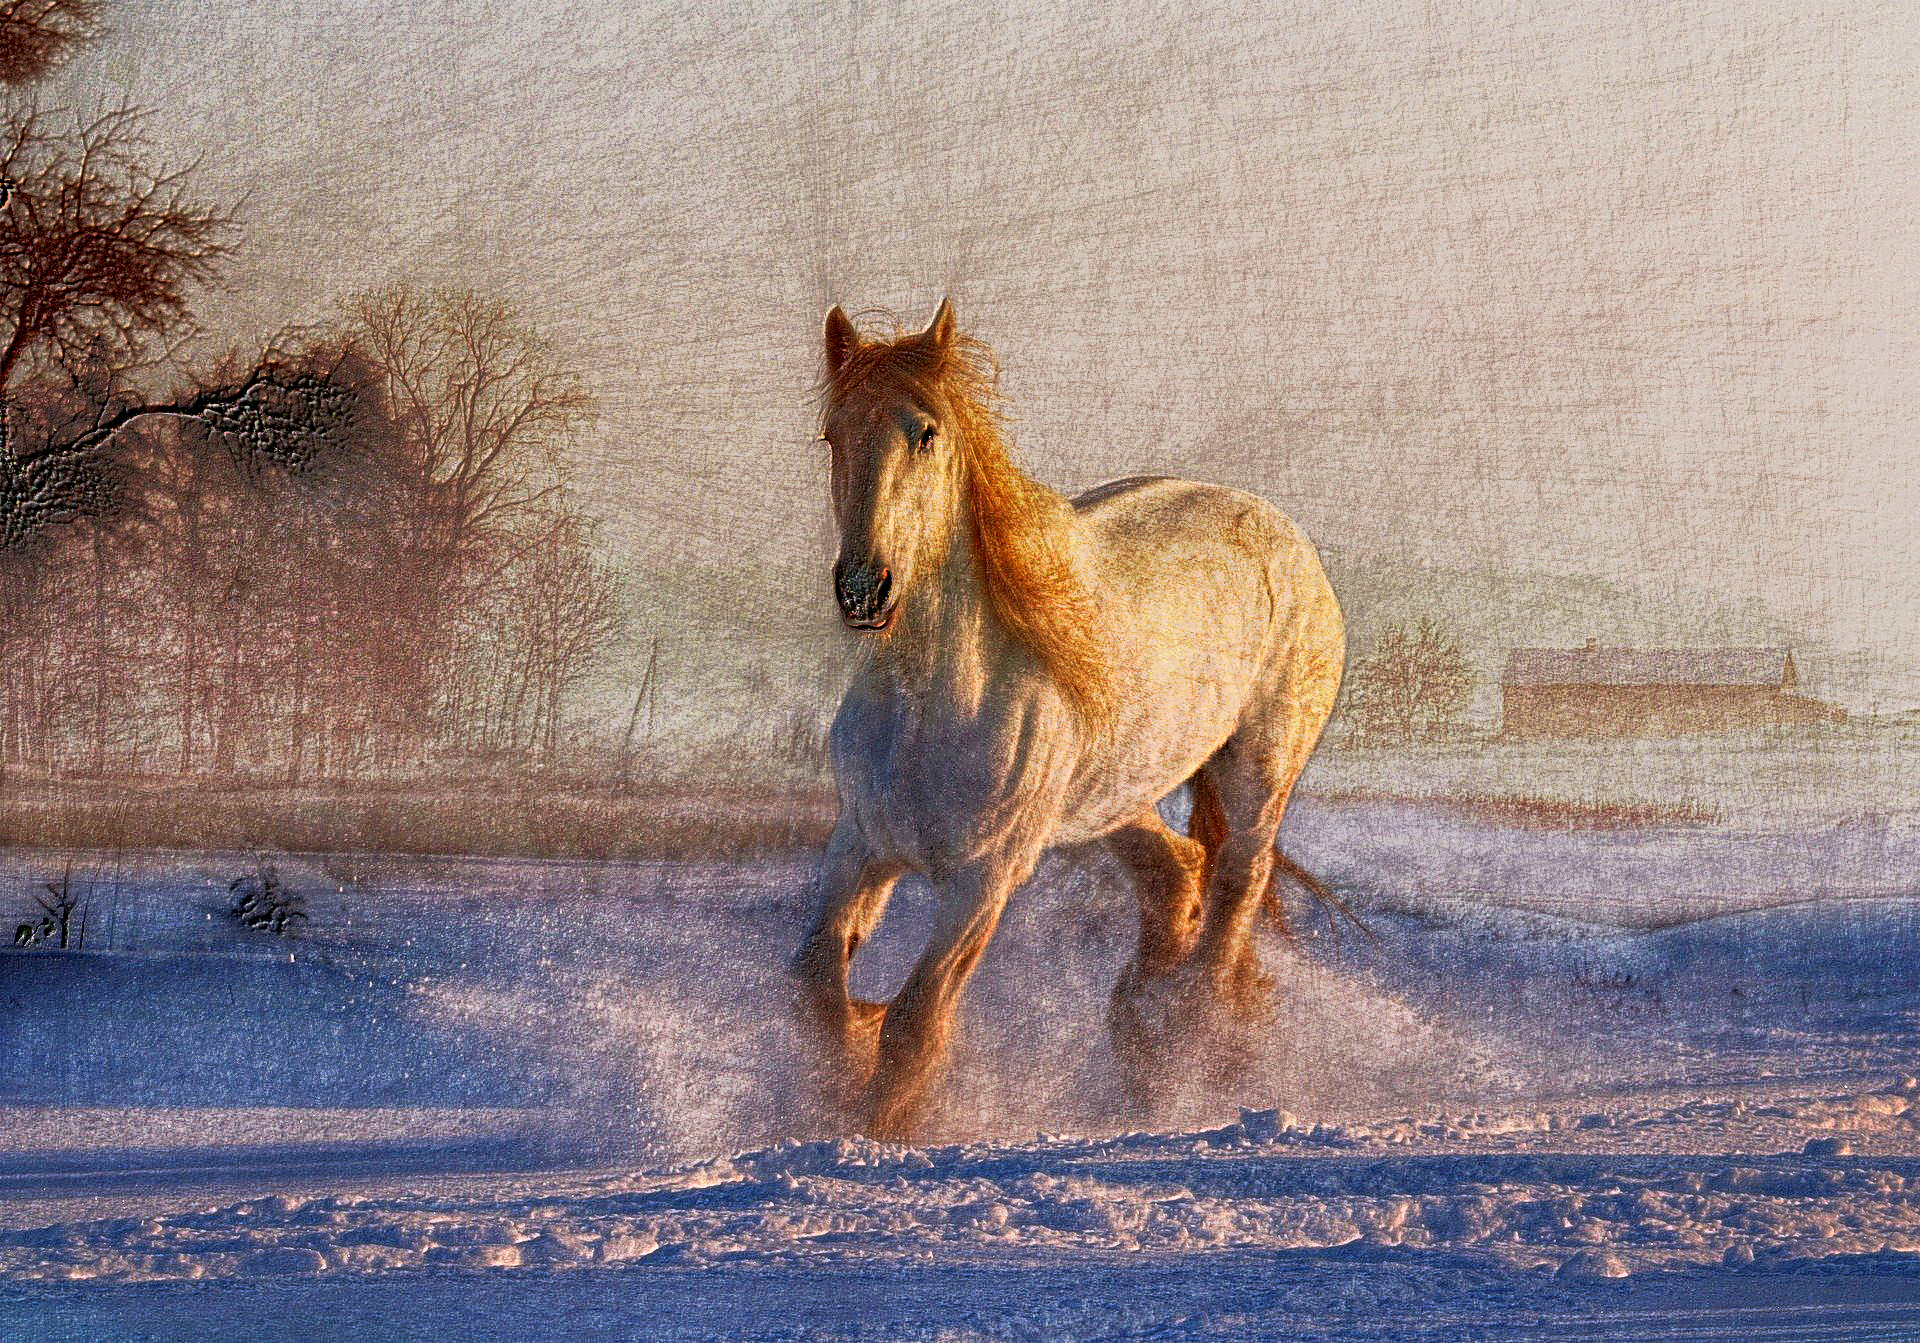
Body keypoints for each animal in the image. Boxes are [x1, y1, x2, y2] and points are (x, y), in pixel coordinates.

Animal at [792, 298, 1346, 1140]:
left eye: (926, 432)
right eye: (833, 434)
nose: (863, 588)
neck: (932, 704)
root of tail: (1286, 537)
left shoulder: (983, 879)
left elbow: (916, 1026)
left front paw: (876, 1129)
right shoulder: (863, 842)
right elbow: (818, 984)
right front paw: (849, 1053)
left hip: (1258, 771)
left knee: (1232, 898)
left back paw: (1184, 1048)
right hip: (1113, 797)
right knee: (1177, 875)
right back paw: (1139, 1031)